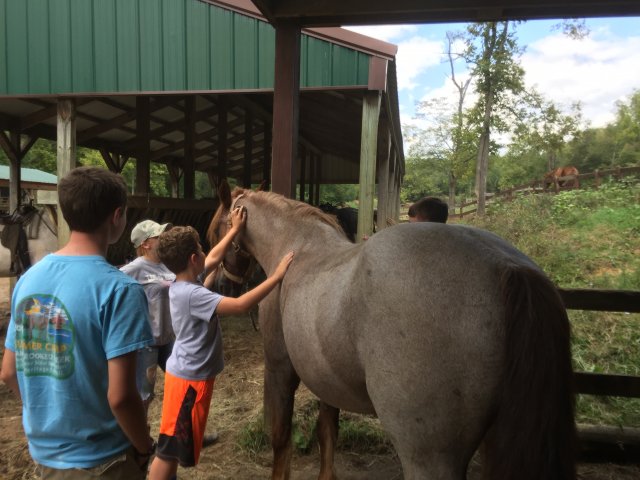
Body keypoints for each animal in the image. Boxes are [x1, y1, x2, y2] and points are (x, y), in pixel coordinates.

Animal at [212, 188, 576, 480]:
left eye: (218, 229)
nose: (221, 285)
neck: (298, 248)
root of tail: (505, 266)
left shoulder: (279, 368)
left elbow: (281, 438)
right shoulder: (325, 378)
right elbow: (327, 434)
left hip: (428, 457)